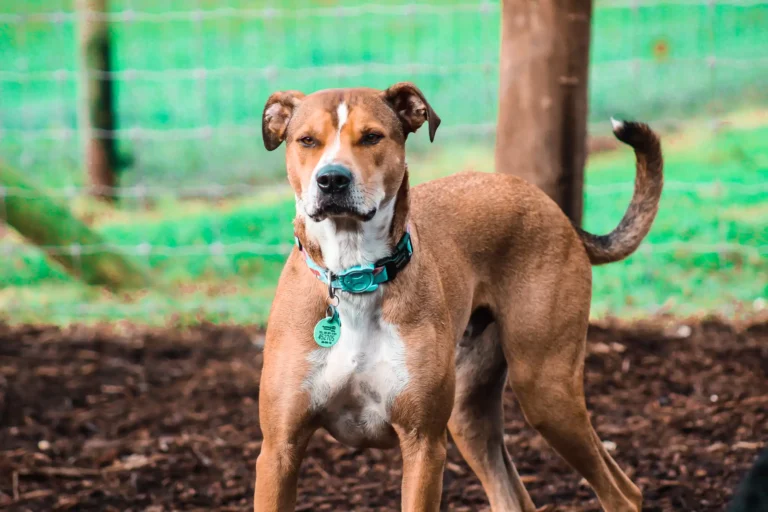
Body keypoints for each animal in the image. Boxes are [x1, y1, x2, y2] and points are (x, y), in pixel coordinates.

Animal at [255, 82, 664, 510]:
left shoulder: (424, 444)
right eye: (307, 141)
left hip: (545, 390)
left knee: (623, 493)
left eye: (371, 137)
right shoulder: (279, 449)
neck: (355, 276)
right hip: (470, 415)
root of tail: (555, 210)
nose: (332, 180)